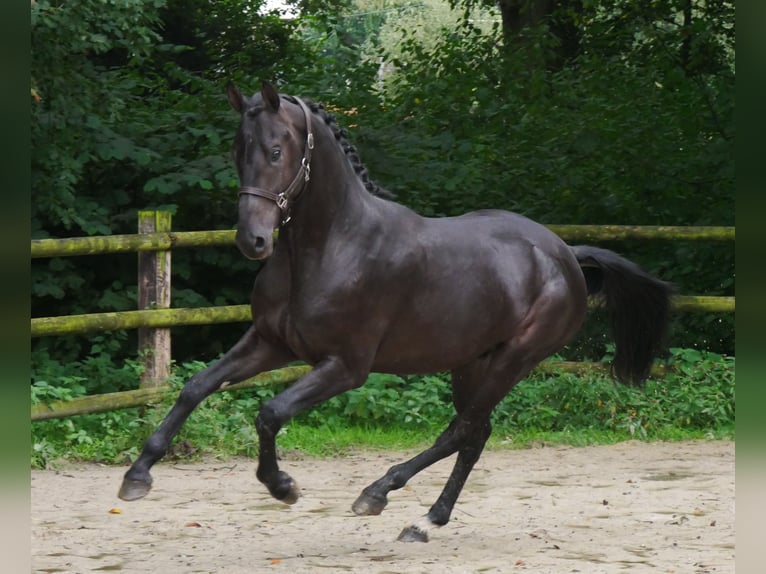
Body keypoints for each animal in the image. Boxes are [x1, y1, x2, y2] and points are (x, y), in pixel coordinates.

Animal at [118, 81, 672, 544]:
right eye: (238, 150)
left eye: (276, 150)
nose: (252, 241)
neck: (332, 246)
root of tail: (566, 255)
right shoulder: (271, 343)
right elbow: (196, 386)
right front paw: (137, 476)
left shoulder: (346, 366)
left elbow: (269, 412)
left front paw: (282, 486)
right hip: (472, 362)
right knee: (476, 433)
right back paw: (418, 514)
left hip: (515, 359)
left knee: (462, 431)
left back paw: (390, 501)